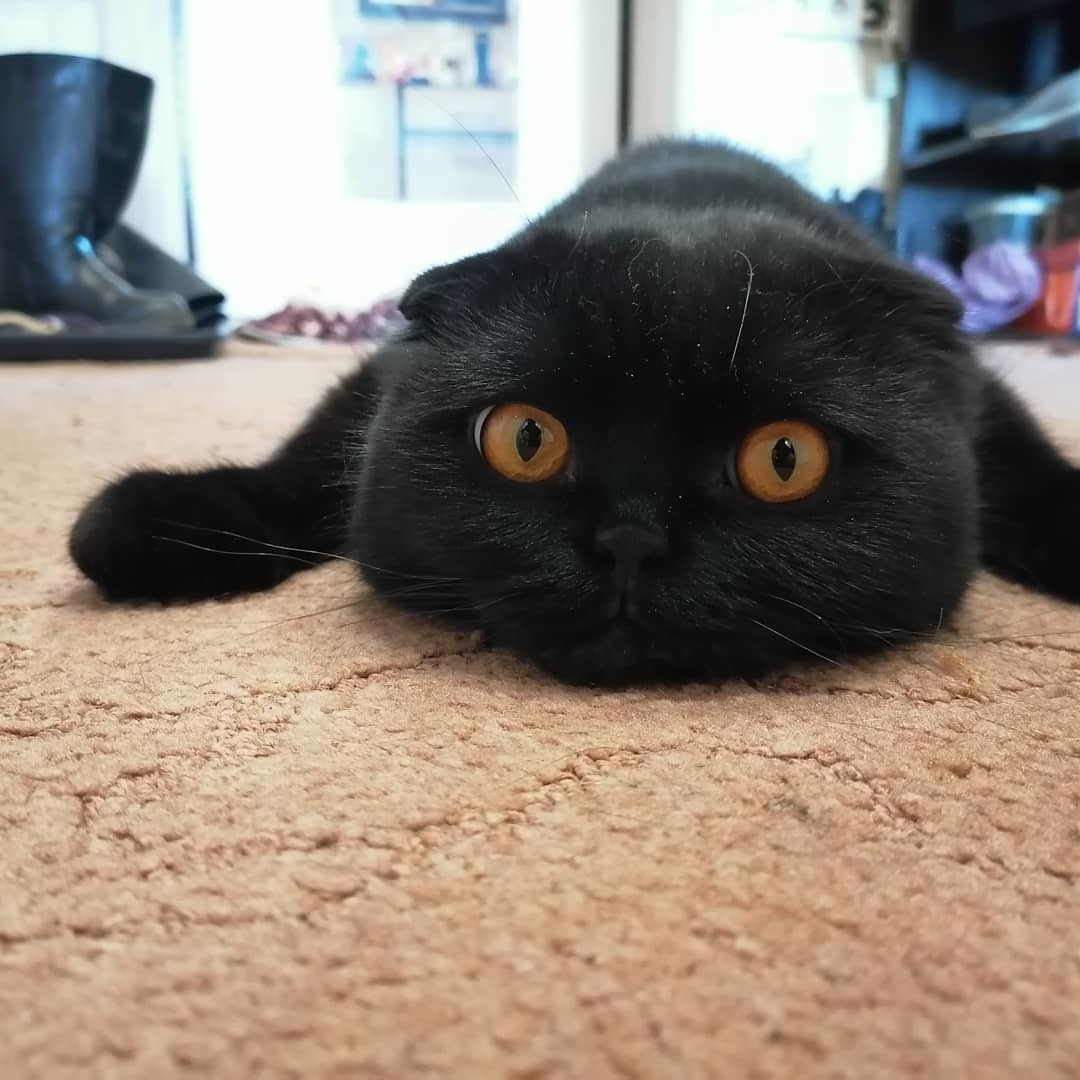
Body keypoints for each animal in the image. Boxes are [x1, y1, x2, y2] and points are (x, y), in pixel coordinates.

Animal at [69, 141, 1080, 682]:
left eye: (785, 458)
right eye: (525, 439)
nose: (629, 540)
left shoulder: (987, 398)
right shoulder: (378, 371)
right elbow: (310, 459)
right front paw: (150, 522)